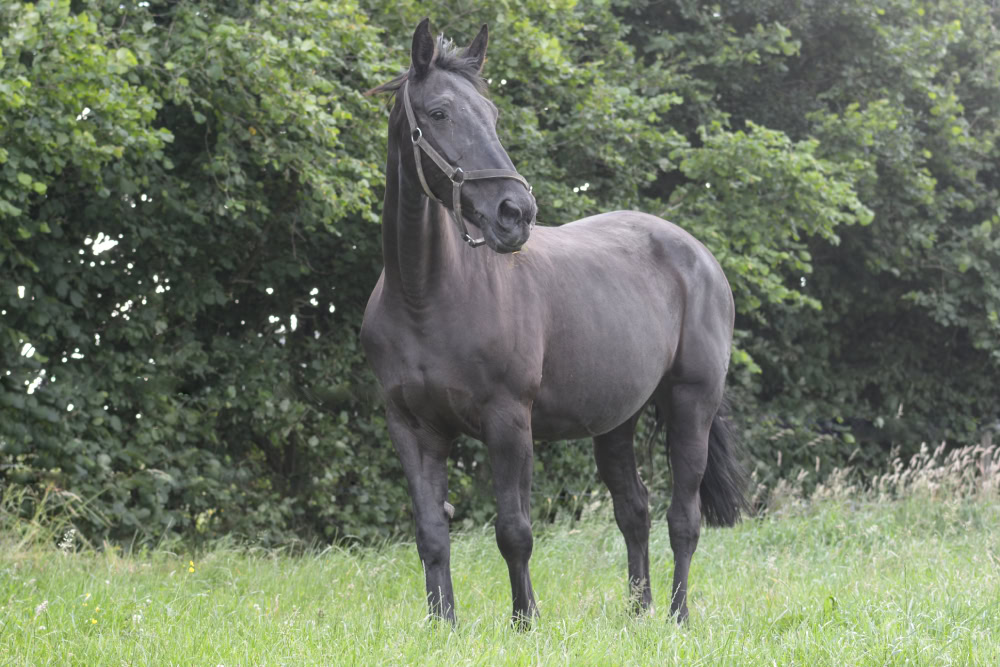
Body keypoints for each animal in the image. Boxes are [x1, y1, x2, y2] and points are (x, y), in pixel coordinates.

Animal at [361, 18, 749, 626]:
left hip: (692, 404)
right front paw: (442, 625)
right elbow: (431, 535)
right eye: (440, 112)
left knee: (683, 519)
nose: (515, 212)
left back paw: (677, 618)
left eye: (493, 114)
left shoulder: (508, 422)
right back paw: (637, 612)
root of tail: (700, 256)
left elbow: (514, 532)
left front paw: (525, 622)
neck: (425, 297)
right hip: (616, 420)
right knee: (634, 510)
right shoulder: (412, 428)